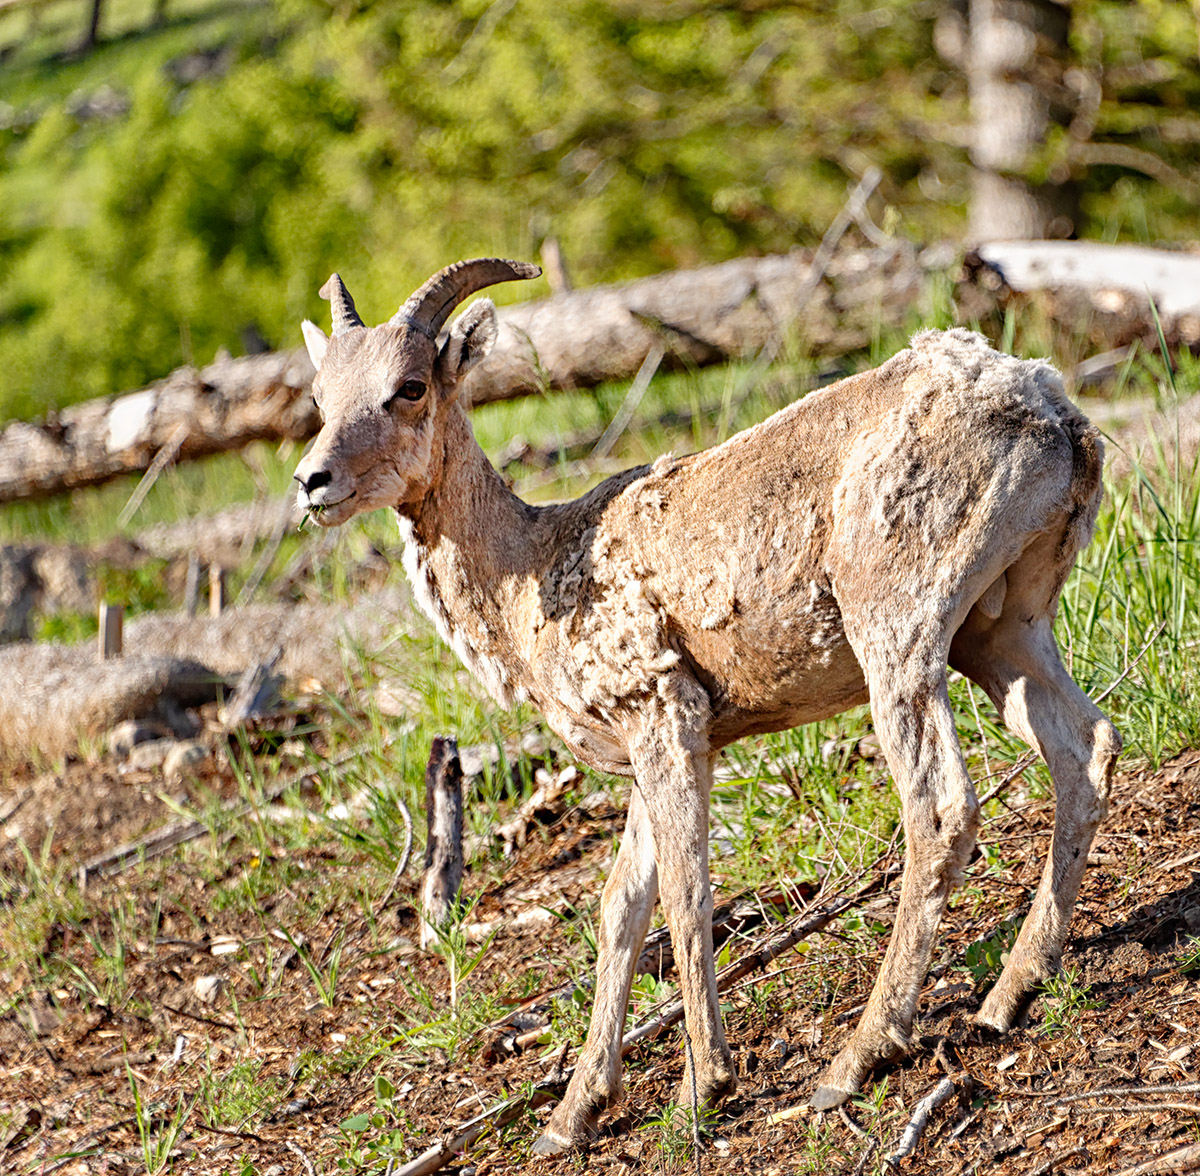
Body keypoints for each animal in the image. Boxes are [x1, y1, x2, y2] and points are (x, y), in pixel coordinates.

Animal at [295, 254, 1118, 1147]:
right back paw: (1009, 995)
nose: (312, 481)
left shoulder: (664, 711)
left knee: (939, 806)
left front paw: (703, 1089)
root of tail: (1056, 417)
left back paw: (853, 1062)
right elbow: (621, 907)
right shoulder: (651, 747)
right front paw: (573, 1115)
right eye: (321, 397)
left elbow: (687, 897)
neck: (530, 579)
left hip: (898, 623)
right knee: (1086, 748)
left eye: (409, 387)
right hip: (1006, 627)